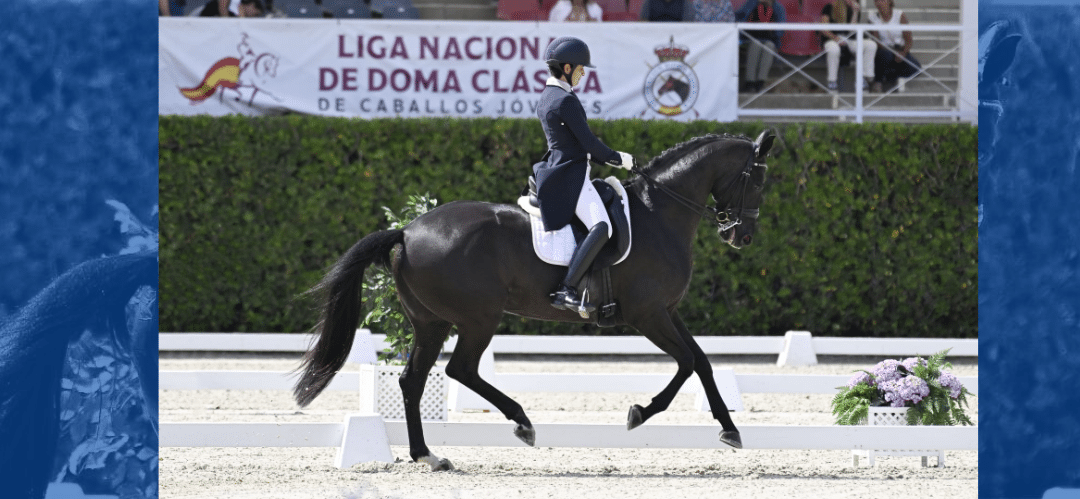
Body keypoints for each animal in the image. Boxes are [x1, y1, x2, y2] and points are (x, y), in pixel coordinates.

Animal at [295, 130, 777, 468]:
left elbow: (704, 362)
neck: (659, 214)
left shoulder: (667, 312)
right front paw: (640, 413)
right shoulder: (648, 315)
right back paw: (522, 423)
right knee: (460, 369)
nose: (743, 236)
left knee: (414, 381)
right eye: (757, 180)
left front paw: (730, 430)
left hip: (431, 322)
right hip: (477, 318)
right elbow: (687, 362)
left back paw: (428, 456)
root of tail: (408, 231)